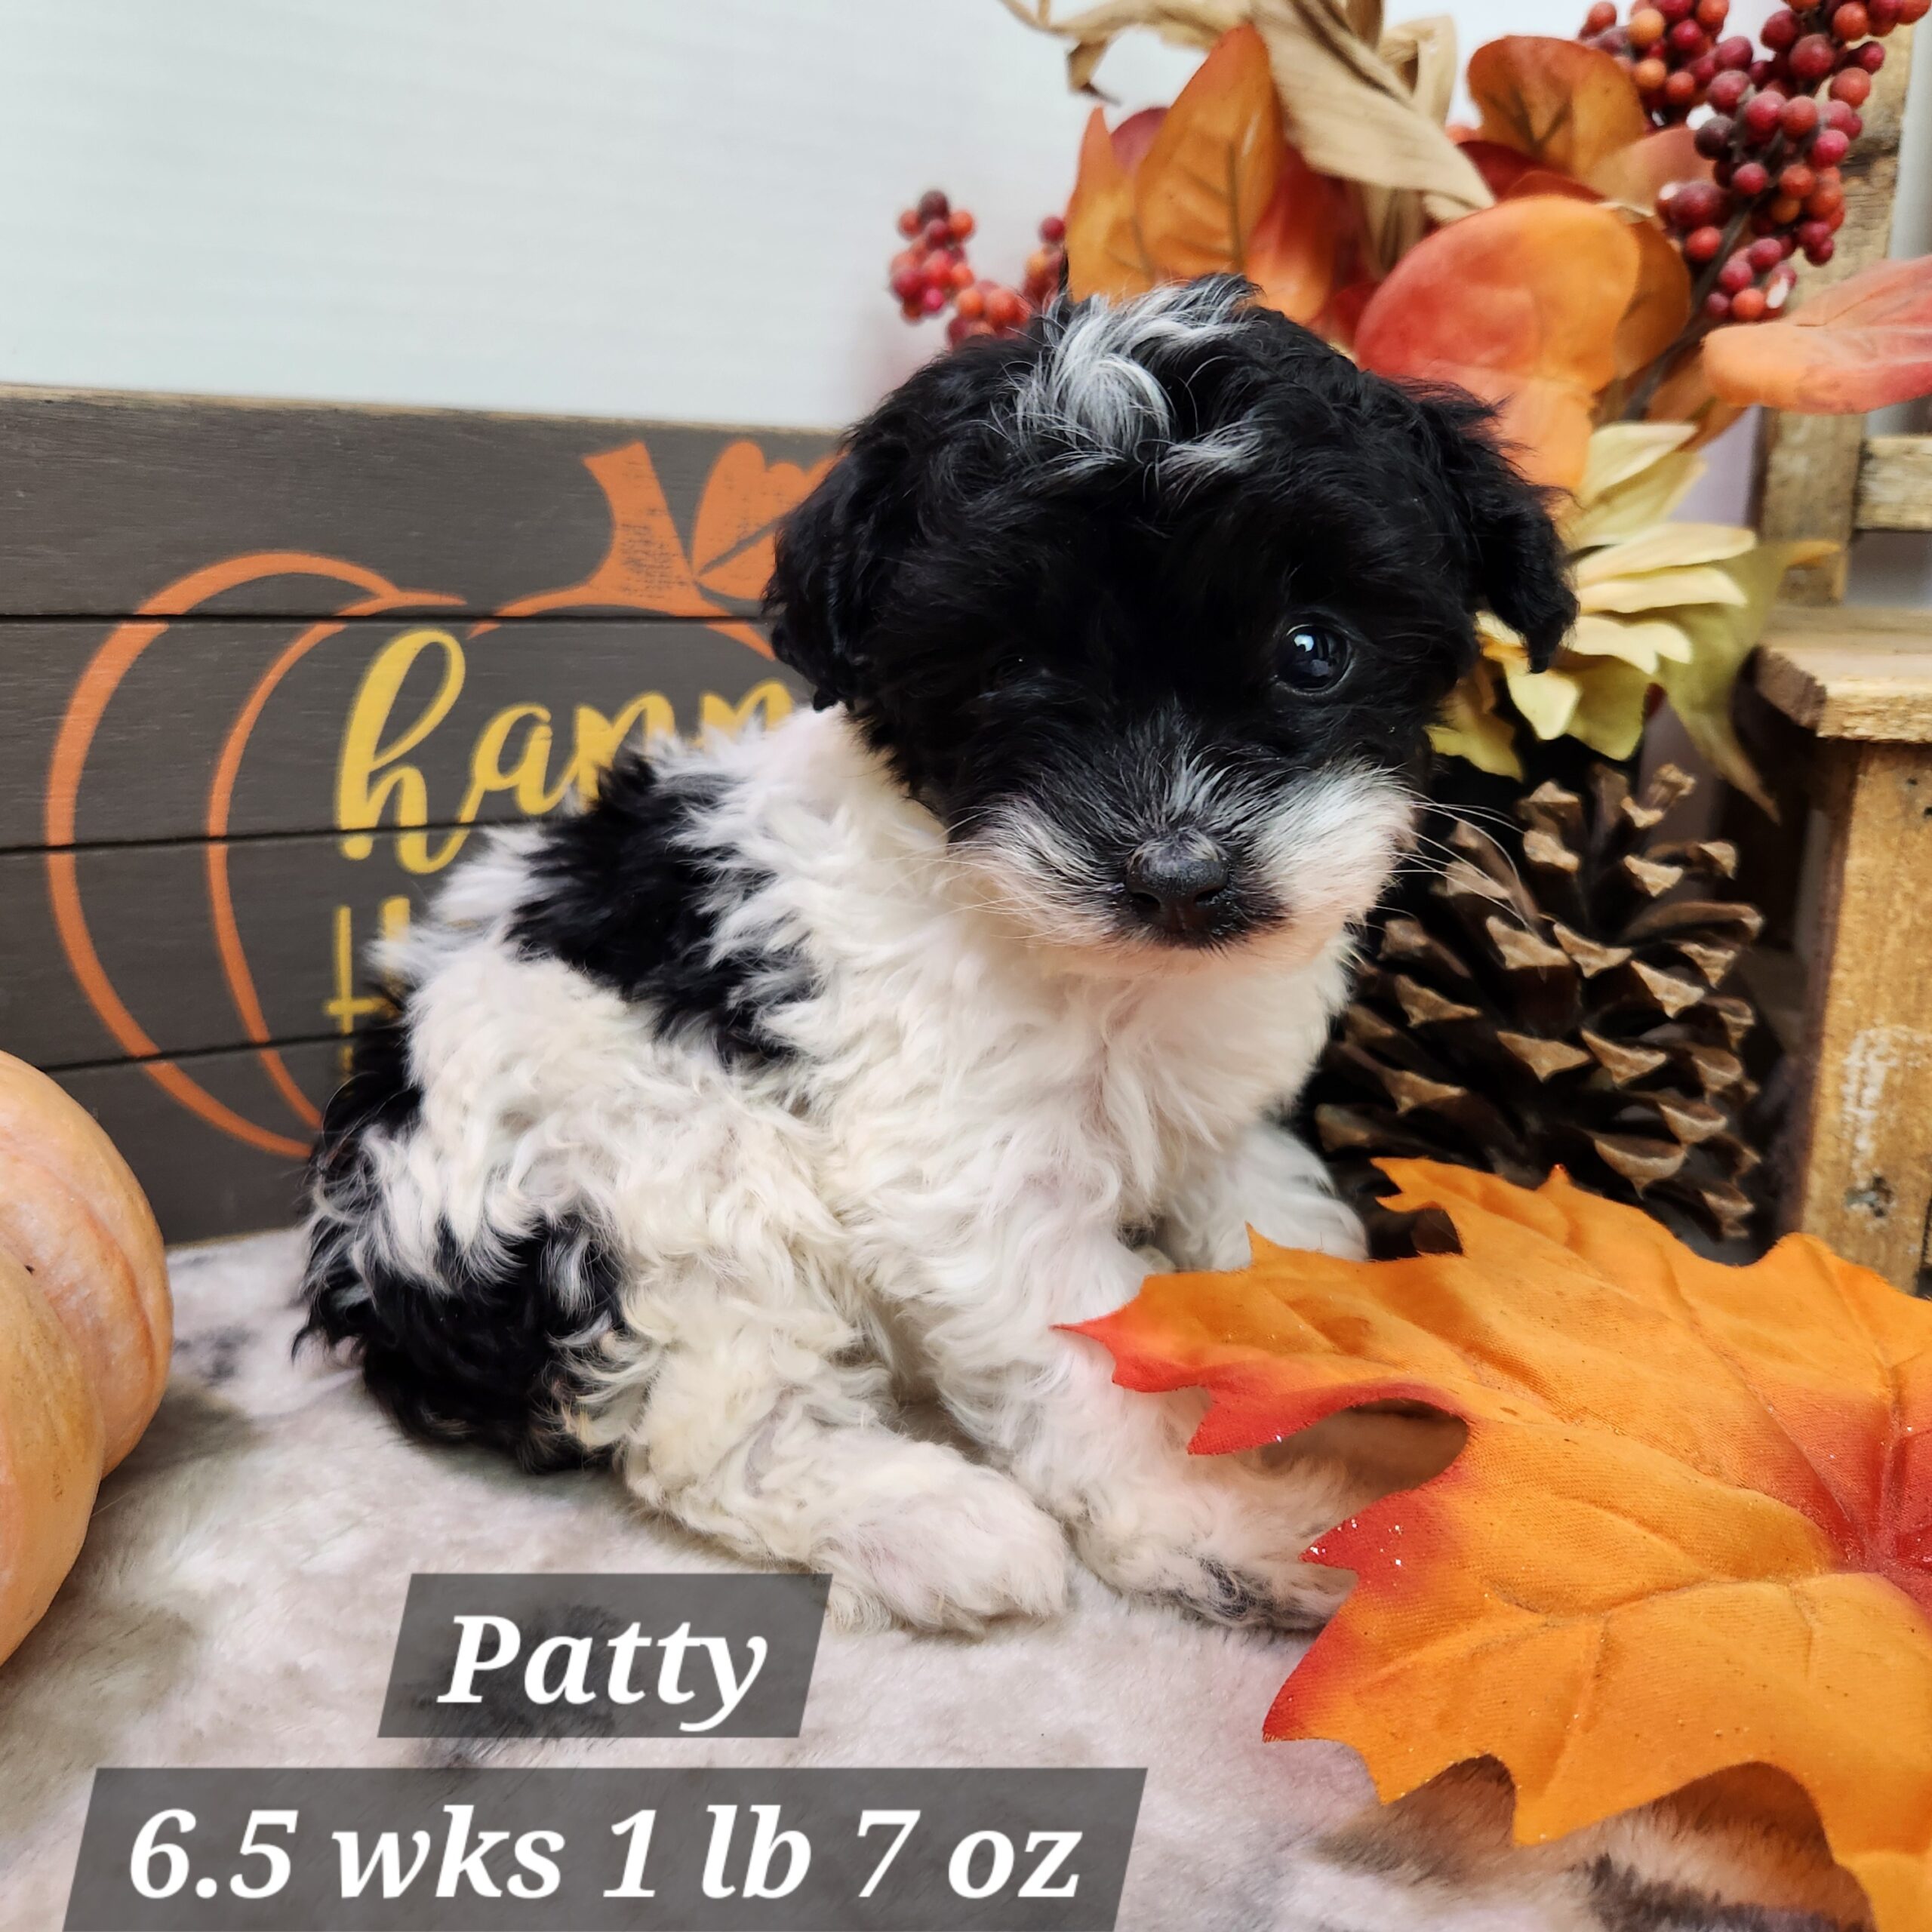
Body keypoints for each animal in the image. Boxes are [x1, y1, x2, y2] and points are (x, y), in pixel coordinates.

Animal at [301, 276, 1568, 1630]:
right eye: (1014, 667)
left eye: (1313, 647)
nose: (1177, 871)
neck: (1103, 969)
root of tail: (365, 1258)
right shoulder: (965, 1170)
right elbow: (1093, 1353)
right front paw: (1210, 1522)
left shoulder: (1218, 1119)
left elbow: (1264, 1227)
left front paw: (1336, 1346)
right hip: (651, 1174)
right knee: (711, 1430)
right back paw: (933, 1525)